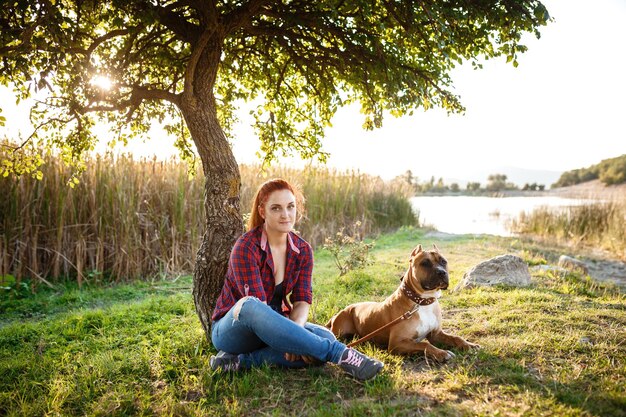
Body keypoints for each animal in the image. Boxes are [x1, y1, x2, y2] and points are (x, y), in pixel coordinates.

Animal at [326, 244, 478, 360]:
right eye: (425, 263)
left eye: (443, 261)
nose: (441, 272)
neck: (421, 302)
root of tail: (339, 312)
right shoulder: (397, 343)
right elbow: (424, 345)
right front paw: (442, 353)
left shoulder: (436, 334)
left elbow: (456, 338)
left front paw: (469, 345)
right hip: (339, 332)